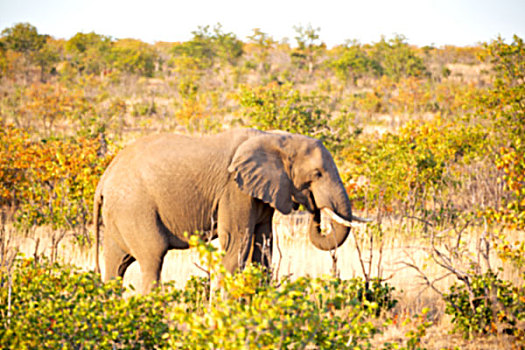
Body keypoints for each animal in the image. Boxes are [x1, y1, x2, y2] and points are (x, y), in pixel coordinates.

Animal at [93, 129, 368, 292]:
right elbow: (237, 244)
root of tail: (104, 179)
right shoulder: (235, 191)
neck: (273, 138)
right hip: (134, 208)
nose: (314, 208)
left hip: (119, 214)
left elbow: (263, 247)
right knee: (153, 257)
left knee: (117, 264)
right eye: (317, 174)